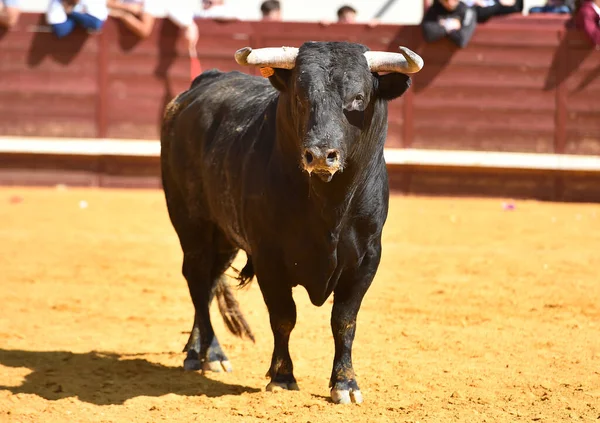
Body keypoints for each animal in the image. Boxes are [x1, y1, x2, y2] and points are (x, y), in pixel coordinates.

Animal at [159, 42, 422, 404]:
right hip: (192, 224)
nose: (321, 155)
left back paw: (195, 348)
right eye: (300, 96)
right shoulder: (269, 258)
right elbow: (284, 317)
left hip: (223, 236)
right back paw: (211, 354)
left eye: (358, 97)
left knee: (210, 282)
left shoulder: (367, 259)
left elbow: (344, 320)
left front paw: (345, 384)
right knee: (197, 281)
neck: (329, 206)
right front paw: (282, 376)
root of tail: (199, 86)